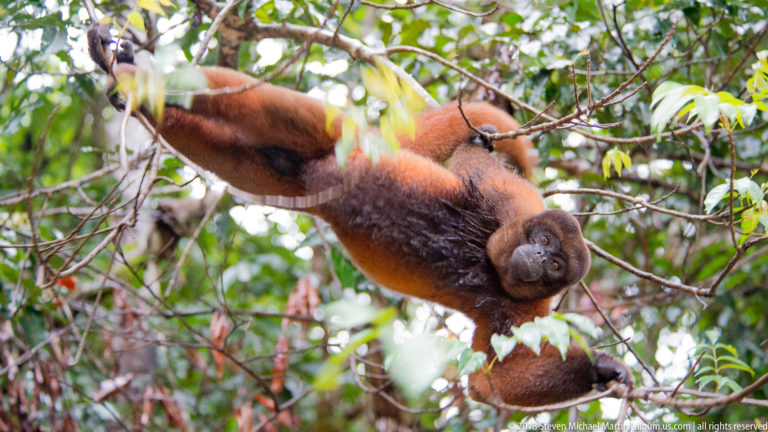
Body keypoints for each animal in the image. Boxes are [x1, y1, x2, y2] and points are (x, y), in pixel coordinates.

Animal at [87, 27, 630, 407]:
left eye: (555, 267)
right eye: (544, 242)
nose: (536, 259)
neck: (492, 267)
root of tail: (323, 175)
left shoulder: (525, 313)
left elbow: (487, 381)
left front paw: (600, 368)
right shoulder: (512, 203)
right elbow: (471, 158)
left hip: (288, 178)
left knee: (246, 146)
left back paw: (146, 100)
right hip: (345, 138)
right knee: (267, 104)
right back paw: (138, 75)